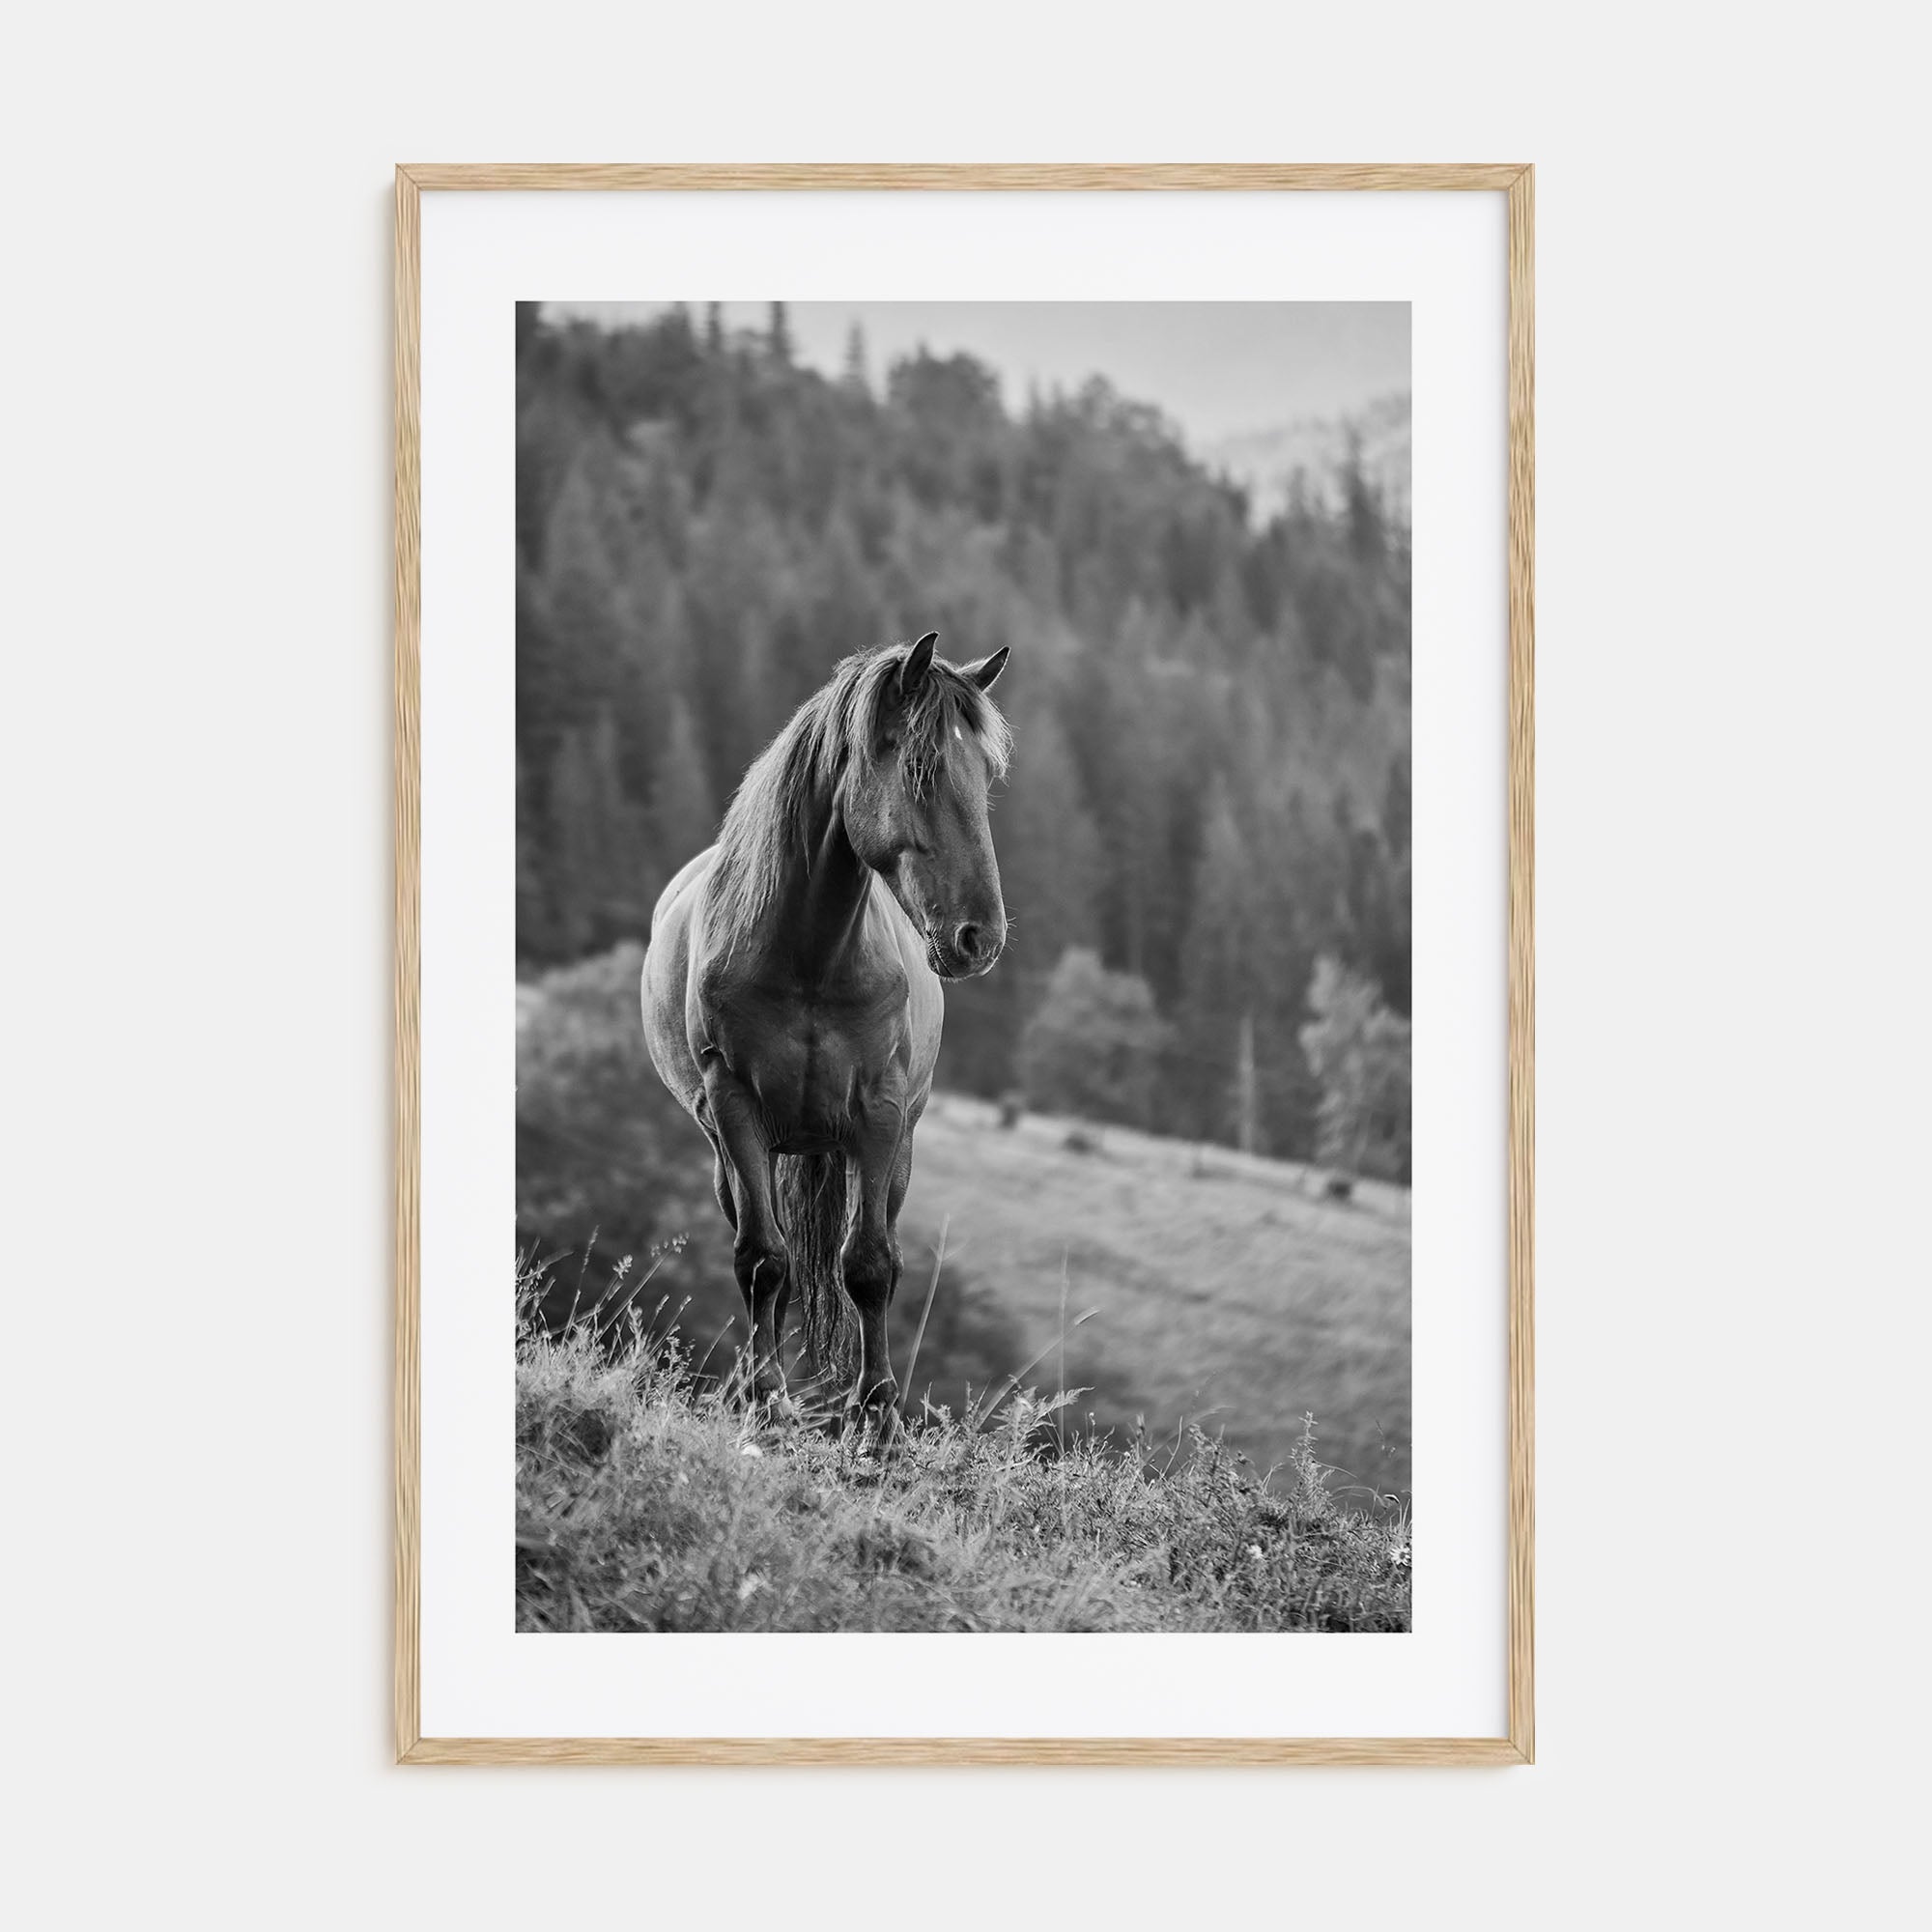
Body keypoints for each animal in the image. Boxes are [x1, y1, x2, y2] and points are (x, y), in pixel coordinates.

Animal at [640, 633, 1012, 1454]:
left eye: (987, 776)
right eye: (922, 770)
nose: (980, 938)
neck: (808, 955)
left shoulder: (879, 1113)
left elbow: (869, 1265)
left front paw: (878, 1419)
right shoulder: (736, 1106)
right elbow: (763, 1260)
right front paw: (765, 1401)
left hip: (888, 1151)